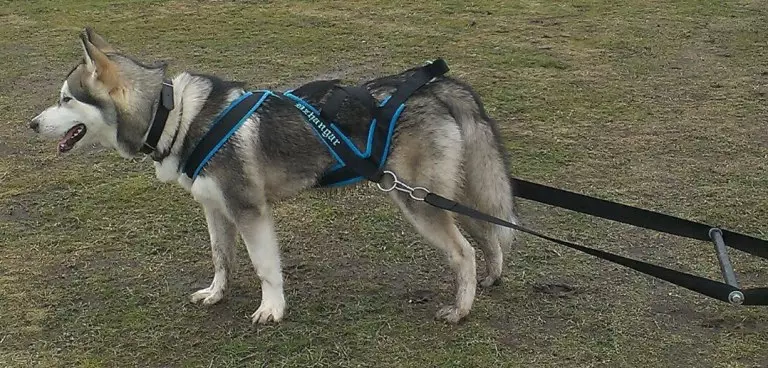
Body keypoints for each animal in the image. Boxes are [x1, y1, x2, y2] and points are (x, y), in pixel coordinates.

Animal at [31, 28, 520, 324]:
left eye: (65, 99)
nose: (32, 124)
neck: (178, 116)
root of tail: (434, 86)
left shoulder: (250, 210)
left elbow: (265, 266)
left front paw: (272, 309)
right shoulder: (215, 209)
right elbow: (221, 258)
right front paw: (217, 294)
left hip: (418, 201)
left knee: (464, 253)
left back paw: (460, 310)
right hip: (449, 195)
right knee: (488, 235)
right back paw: (491, 280)